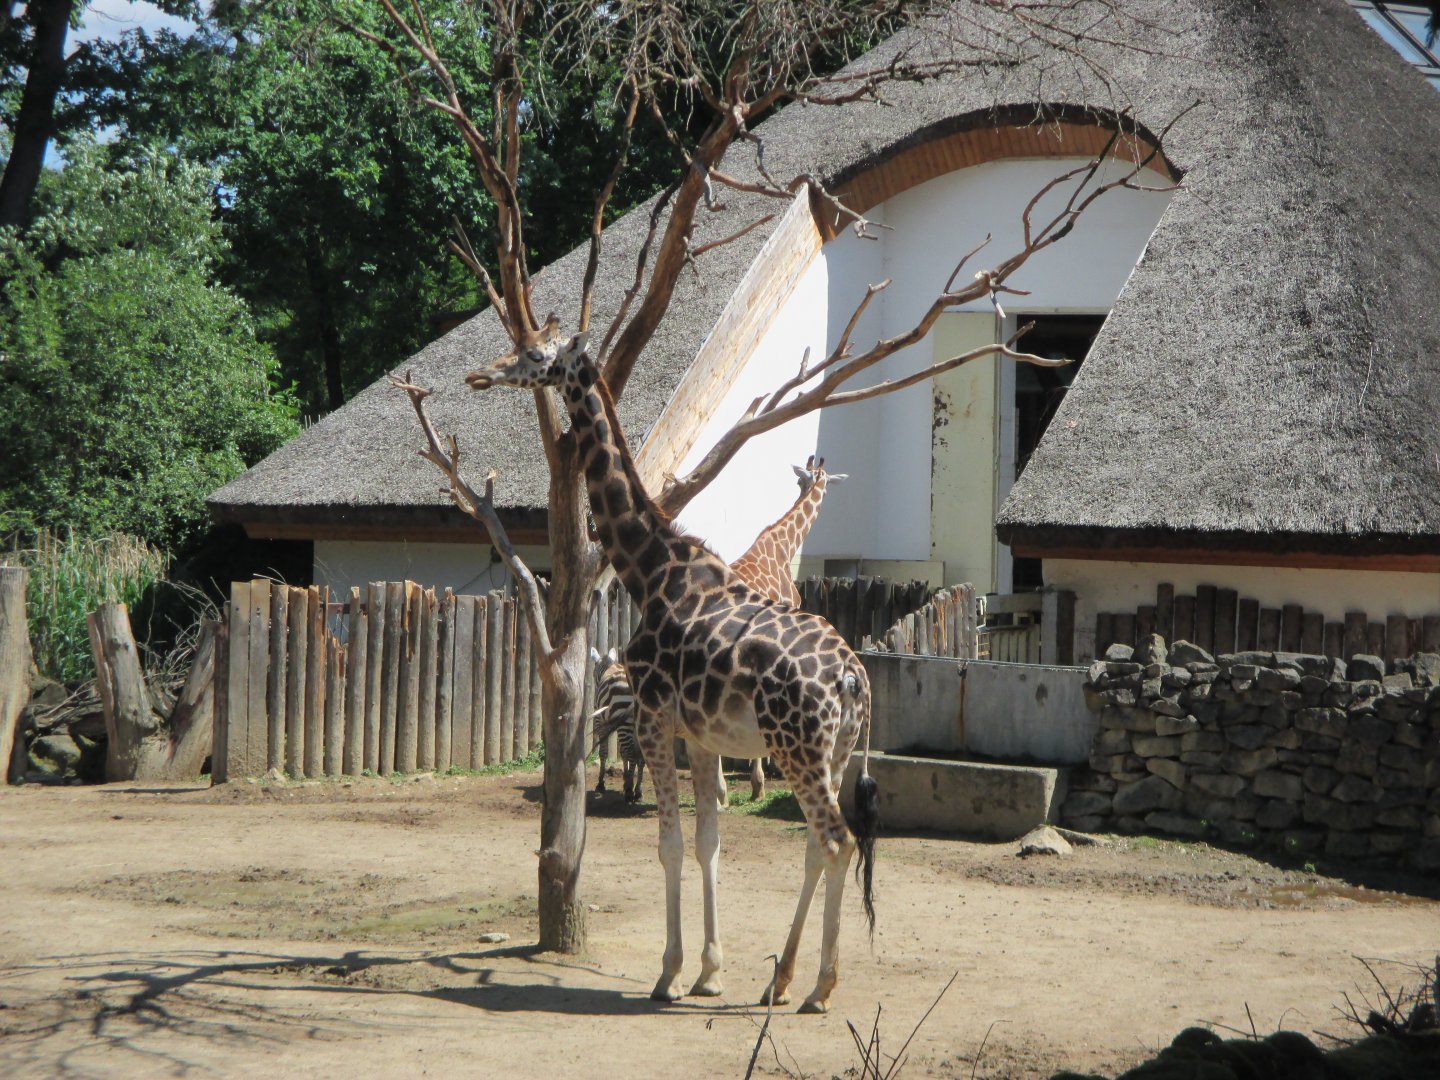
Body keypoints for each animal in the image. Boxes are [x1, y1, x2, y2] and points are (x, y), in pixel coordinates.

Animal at [466, 321, 878, 1013]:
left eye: (534, 353)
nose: (480, 374)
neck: (650, 570)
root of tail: (852, 678)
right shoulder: (704, 737)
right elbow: (710, 842)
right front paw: (712, 972)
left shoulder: (657, 719)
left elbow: (670, 844)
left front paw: (669, 973)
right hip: (836, 750)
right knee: (818, 846)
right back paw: (781, 980)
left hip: (796, 746)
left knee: (835, 839)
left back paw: (819, 988)